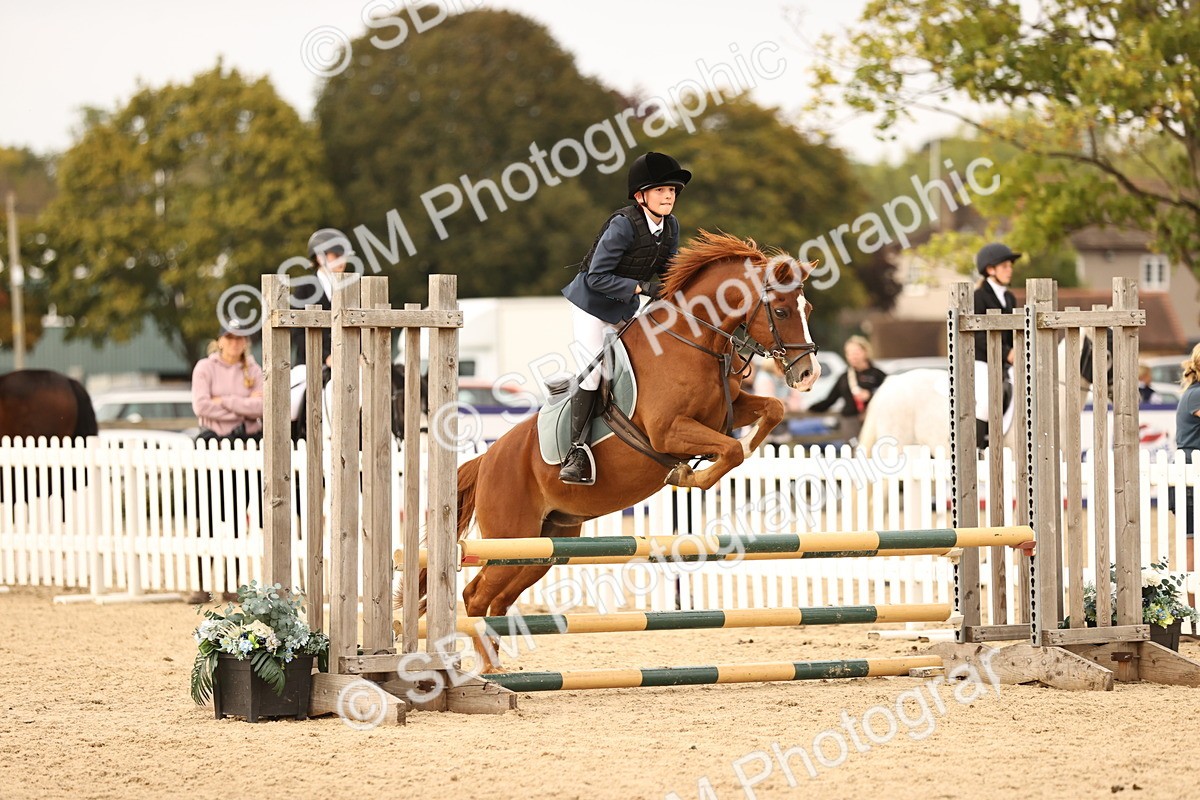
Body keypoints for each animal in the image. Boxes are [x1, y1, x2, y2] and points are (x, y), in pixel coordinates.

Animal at [404, 231, 823, 669]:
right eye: (781, 310)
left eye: (807, 308)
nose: (809, 375)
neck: (693, 341)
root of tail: (487, 459)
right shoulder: (668, 431)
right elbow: (730, 451)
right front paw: (688, 473)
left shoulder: (728, 410)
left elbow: (770, 413)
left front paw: (734, 451)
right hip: (511, 535)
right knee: (475, 595)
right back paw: (489, 671)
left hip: (545, 544)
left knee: (497, 598)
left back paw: (497, 665)